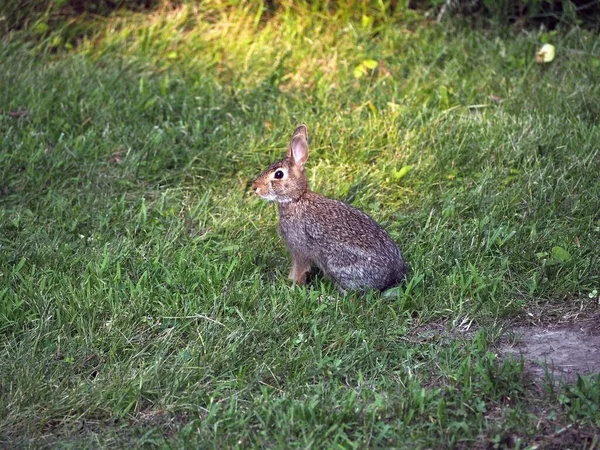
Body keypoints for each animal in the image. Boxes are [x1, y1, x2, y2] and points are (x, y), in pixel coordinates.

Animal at [251, 125, 406, 292]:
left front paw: (292, 285)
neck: (297, 199)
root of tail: (393, 275)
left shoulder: (299, 249)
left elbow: (299, 268)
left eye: (278, 174)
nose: (255, 187)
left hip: (338, 266)